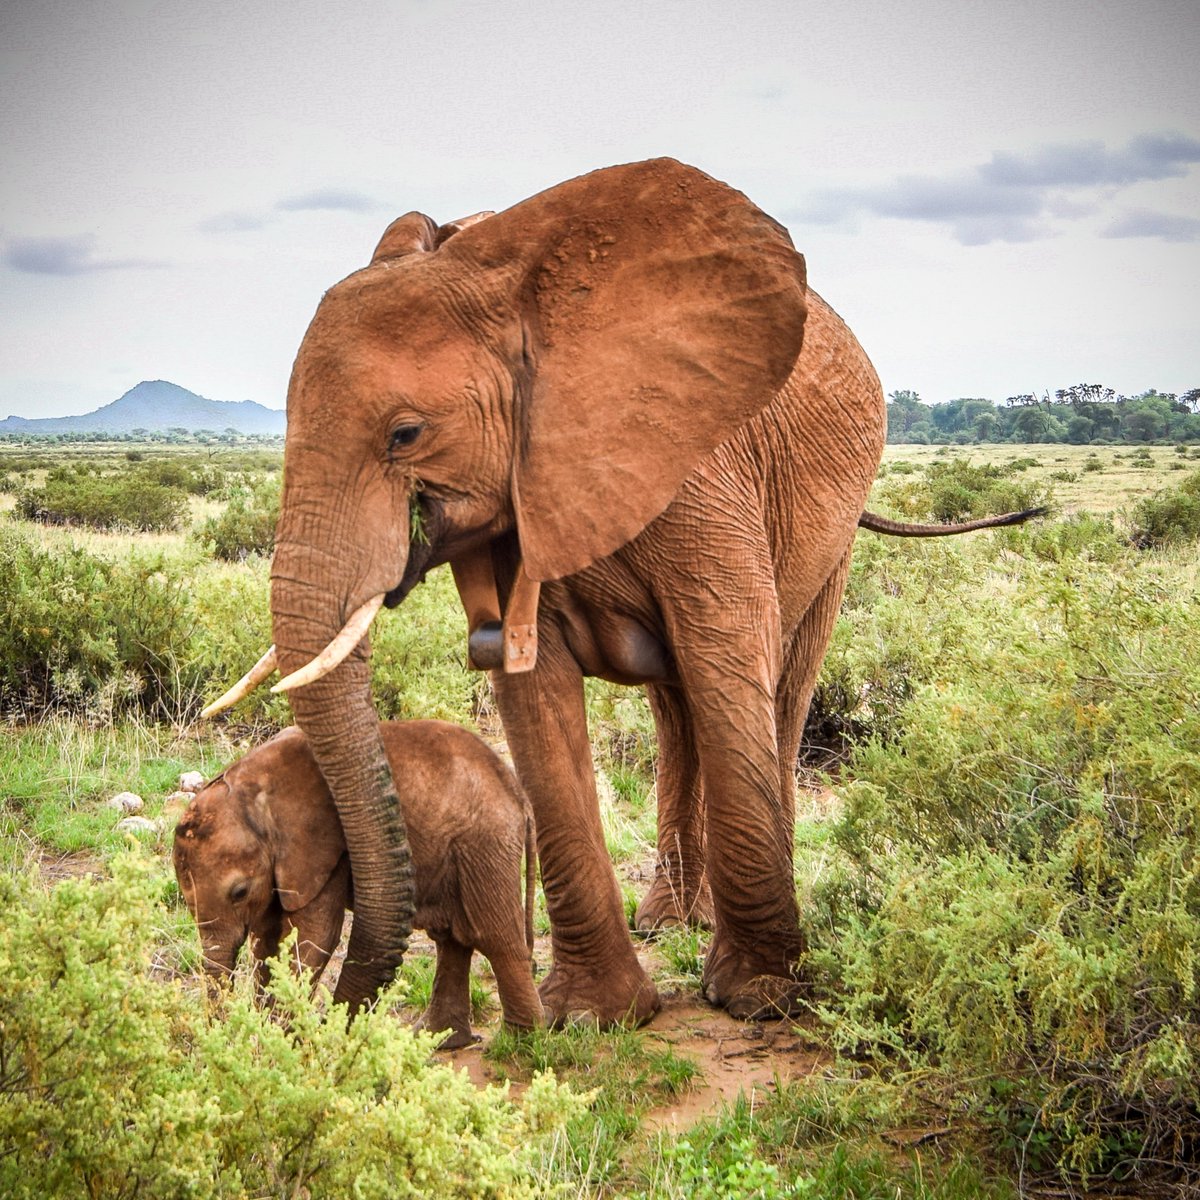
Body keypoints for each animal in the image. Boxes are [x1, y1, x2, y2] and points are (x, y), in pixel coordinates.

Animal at [172, 720, 542, 1047]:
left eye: (239, 892)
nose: (223, 1034)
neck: (250, 785)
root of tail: (519, 795)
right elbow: (266, 940)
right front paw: (266, 1033)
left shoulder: (325, 847)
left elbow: (313, 936)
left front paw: (281, 1040)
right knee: (452, 936)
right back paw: (438, 1040)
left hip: (484, 840)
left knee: (494, 935)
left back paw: (520, 1043)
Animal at [225, 156, 1040, 1024]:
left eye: (406, 435)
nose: (319, 1006)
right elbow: (532, 690)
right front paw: (596, 1015)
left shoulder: (702, 468)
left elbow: (730, 651)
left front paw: (759, 997)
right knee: (677, 708)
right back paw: (670, 919)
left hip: (837, 525)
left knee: (779, 683)